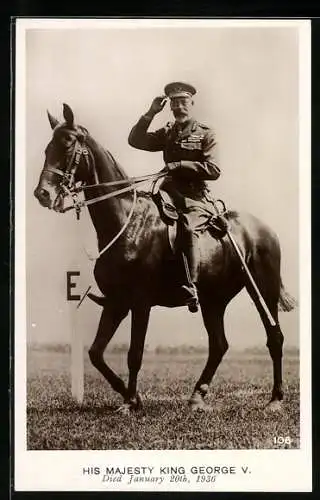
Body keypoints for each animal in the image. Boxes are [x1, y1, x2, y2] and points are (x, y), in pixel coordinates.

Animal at [34, 103, 296, 412]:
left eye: (67, 144)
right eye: (47, 148)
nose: (42, 193)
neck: (126, 220)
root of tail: (265, 229)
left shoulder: (140, 302)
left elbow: (134, 353)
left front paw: (130, 401)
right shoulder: (116, 302)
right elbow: (96, 352)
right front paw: (129, 395)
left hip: (263, 290)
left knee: (274, 337)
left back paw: (275, 399)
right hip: (213, 300)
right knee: (219, 345)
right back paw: (197, 396)